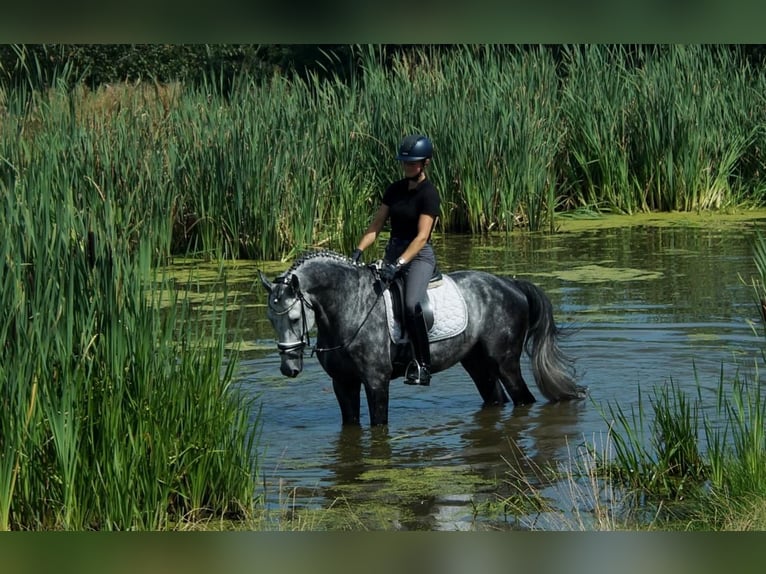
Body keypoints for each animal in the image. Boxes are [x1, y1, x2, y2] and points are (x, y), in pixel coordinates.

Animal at [258, 251, 588, 428]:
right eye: (271, 320)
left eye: (294, 318)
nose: (289, 369)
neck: (350, 306)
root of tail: (511, 284)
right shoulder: (343, 384)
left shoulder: (376, 381)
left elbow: (378, 424)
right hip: (477, 363)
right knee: (496, 398)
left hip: (505, 362)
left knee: (524, 399)